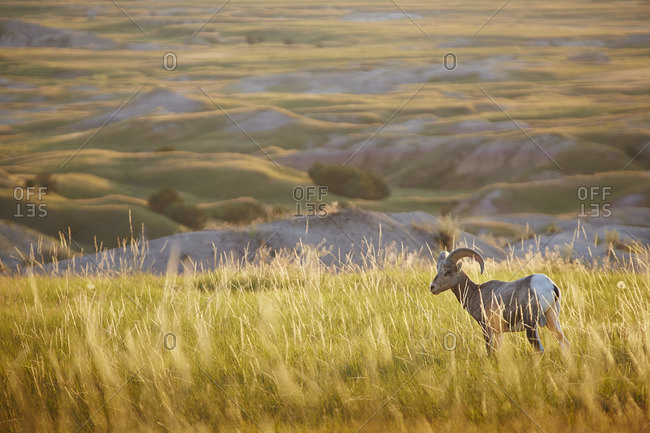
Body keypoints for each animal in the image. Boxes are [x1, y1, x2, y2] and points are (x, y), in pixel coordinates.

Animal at [430, 247, 569, 354]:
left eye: (448, 271)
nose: (432, 287)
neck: (475, 292)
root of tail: (550, 285)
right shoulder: (499, 332)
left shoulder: (487, 328)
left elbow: (490, 353)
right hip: (552, 319)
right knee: (564, 343)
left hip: (531, 326)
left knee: (539, 350)